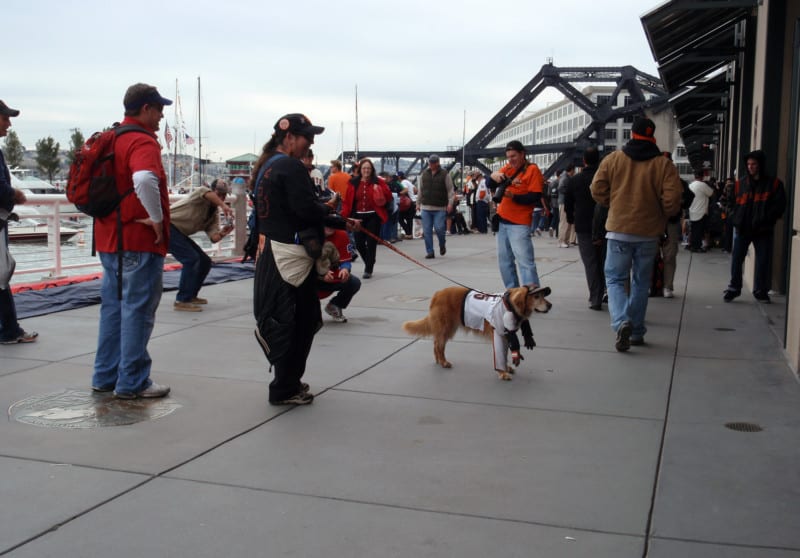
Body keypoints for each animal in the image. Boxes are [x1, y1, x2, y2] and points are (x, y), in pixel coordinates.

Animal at [404, 288, 552, 380]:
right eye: (536, 296)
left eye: (543, 295)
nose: (550, 305)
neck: (509, 305)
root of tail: (437, 294)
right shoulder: (498, 335)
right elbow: (500, 356)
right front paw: (503, 373)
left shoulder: (505, 336)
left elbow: (504, 356)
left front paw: (507, 368)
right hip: (446, 327)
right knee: (438, 346)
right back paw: (444, 362)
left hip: (447, 328)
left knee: (436, 344)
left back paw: (439, 361)